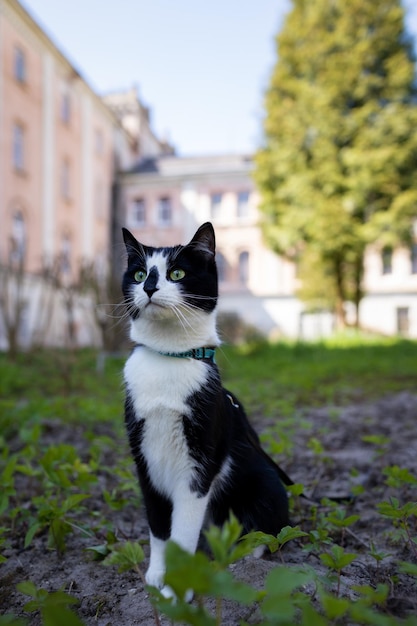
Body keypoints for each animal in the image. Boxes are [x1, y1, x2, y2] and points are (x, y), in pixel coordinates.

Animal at [122, 222, 288, 592]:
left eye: (176, 273)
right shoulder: (144, 461)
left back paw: (241, 559)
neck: (168, 360)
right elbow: (159, 525)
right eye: (139, 274)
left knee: (269, 533)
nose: (149, 287)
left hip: (264, 482)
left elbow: (183, 532)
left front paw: (177, 589)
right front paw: (157, 574)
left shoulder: (200, 463)